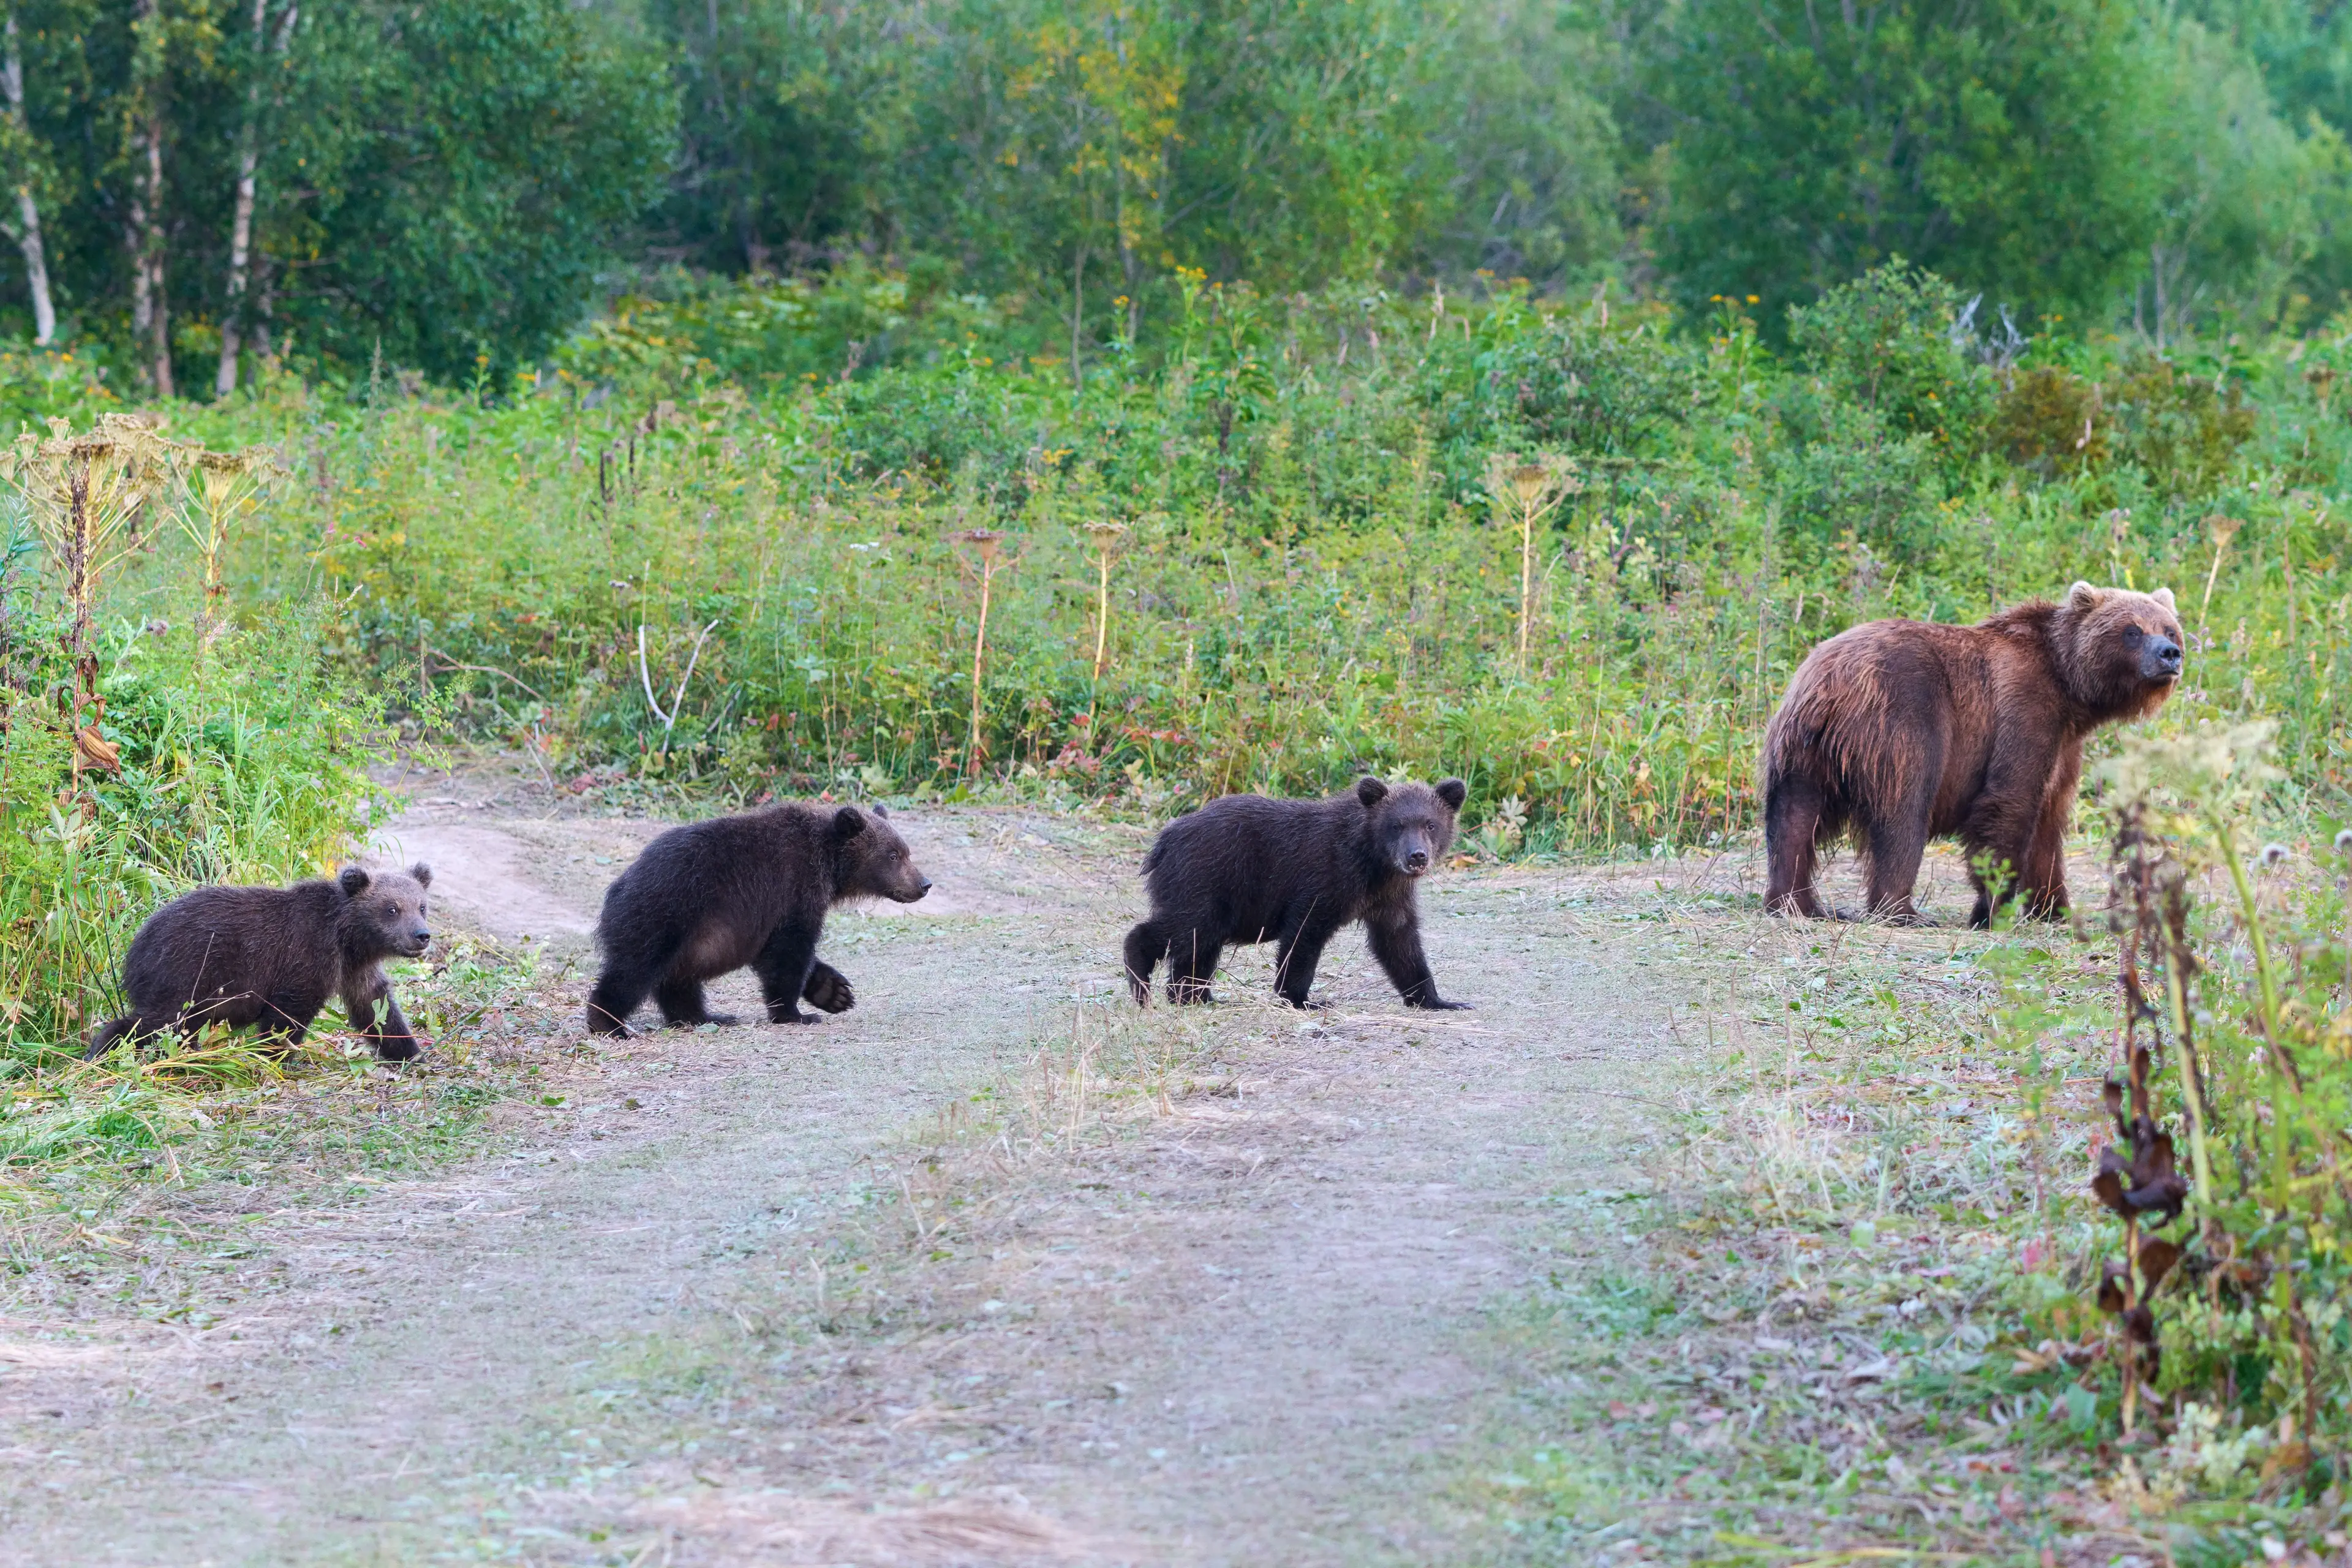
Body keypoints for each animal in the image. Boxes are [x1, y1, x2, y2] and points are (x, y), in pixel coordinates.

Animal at [89, 864, 435, 1061]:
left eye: (421, 906)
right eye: (392, 909)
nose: (422, 935)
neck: (347, 939)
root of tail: (137, 943)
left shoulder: (356, 970)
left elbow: (376, 1008)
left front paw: (410, 1052)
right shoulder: (306, 956)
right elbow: (287, 1015)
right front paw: (275, 1055)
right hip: (184, 973)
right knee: (158, 1021)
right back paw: (102, 1049)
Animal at [586, 801, 931, 1036]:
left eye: (906, 852)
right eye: (893, 855)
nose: (924, 884)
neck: (828, 866)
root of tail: (618, 887)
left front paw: (834, 991)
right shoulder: (792, 891)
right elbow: (787, 954)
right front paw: (796, 1014)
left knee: (679, 981)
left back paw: (707, 1017)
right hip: (664, 913)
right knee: (633, 971)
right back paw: (609, 1024)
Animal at [1123, 775, 1472, 1010]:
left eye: (1430, 824)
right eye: (1397, 825)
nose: (1417, 856)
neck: (1373, 864)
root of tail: (1165, 839)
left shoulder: (1389, 896)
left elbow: (1400, 942)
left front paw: (1438, 999)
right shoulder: (1325, 878)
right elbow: (1304, 936)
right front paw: (1301, 998)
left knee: (1199, 945)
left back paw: (1196, 997)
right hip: (1207, 879)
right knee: (1186, 928)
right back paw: (1143, 983)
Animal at [1762, 581, 2183, 928]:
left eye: (2168, 628)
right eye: (2133, 630)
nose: (2170, 654)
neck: (2070, 688)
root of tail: (1831, 679)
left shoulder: (2064, 745)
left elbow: (2050, 820)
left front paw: (2055, 908)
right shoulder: (2024, 710)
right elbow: (2009, 802)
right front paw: (1993, 909)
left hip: (1801, 750)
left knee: (1794, 817)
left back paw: (1796, 903)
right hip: (1904, 717)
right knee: (1904, 808)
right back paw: (1902, 910)